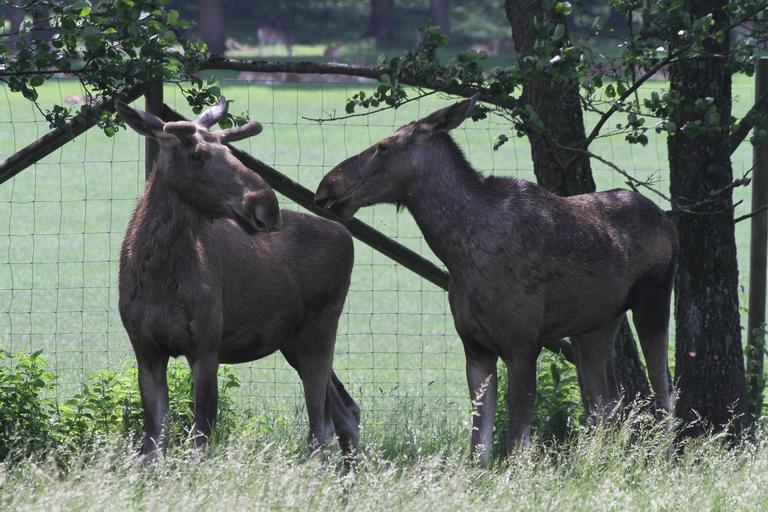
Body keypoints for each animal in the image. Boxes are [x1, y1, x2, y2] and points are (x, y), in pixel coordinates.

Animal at [116, 97, 360, 463]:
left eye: (230, 150)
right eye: (196, 154)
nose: (267, 205)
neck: (158, 277)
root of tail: (348, 237)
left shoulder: (206, 346)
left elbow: (200, 441)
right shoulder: (146, 350)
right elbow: (153, 446)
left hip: (320, 328)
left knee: (322, 425)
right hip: (292, 340)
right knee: (347, 410)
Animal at [314, 95, 677, 467]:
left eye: (384, 146)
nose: (326, 187)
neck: (459, 254)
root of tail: (667, 219)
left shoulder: (523, 343)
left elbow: (516, 443)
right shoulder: (475, 346)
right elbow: (479, 448)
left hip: (654, 300)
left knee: (663, 392)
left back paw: (662, 460)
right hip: (597, 324)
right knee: (607, 402)